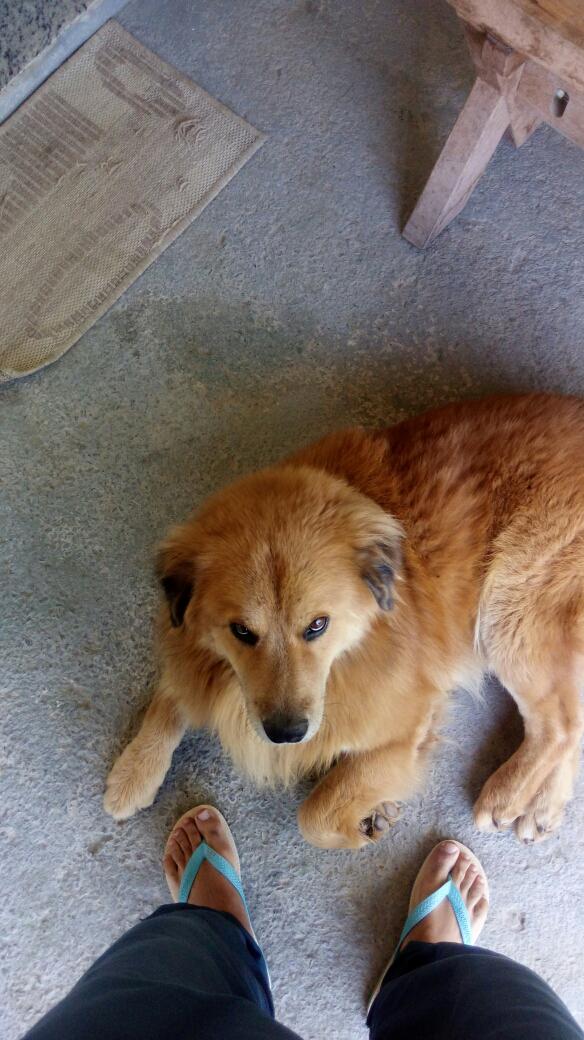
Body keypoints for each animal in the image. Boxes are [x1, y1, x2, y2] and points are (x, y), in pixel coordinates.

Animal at [104, 393, 584, 848]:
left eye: (317, 625)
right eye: (241, 631)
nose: (286, 733)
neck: (352, 648)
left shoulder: (404, 723)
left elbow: (314, 815)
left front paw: (368, 821)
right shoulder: (189, 653)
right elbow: (168, 699)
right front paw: (134, 771)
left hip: (506, 612)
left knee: (557, 726)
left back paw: (505, 796)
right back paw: (542, 808)